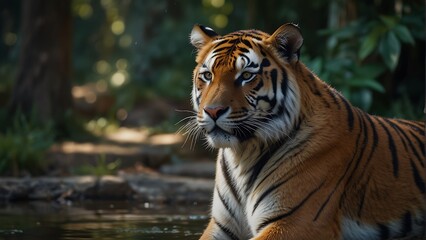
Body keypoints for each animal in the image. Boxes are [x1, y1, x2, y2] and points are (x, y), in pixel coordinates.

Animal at [186, 23, 426, 240]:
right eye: (207, 76)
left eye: (246, 76)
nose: (213, 111)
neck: (243, 154)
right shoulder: (222, 224)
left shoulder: (296, 222)